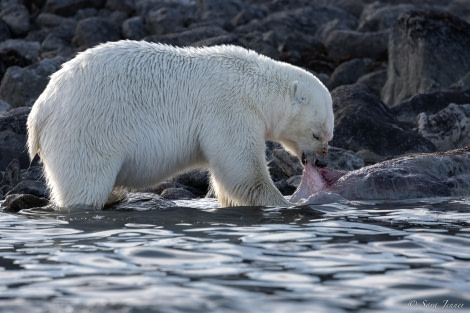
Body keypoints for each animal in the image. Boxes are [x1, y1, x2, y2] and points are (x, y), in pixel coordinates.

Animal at [26, 40, 334, 207]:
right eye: (317, 135)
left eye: (329, 135)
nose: (321, 161)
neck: (255, 87)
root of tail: (41, 110)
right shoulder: (229, 109)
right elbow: (243, 169)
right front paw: (284, 202)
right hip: (87, 130)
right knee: (85, 181)